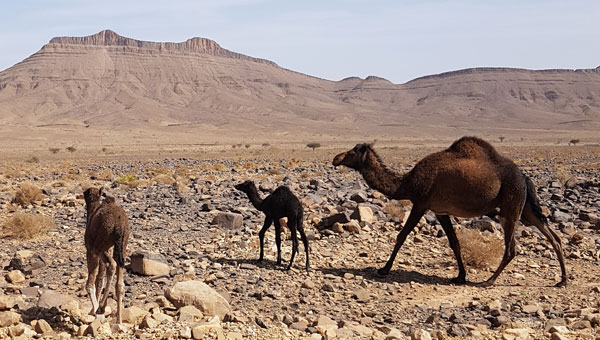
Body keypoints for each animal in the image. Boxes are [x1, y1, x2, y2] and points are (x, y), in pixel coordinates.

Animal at [83, 187, 130, 322]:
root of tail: (119, 225)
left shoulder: (91, 250)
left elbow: (91, 283)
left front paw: (94, 309)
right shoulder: (108, 249)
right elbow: (99, 280)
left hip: (99, 247)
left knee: (112, 264)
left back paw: (101, 308)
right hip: (122, 245)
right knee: (119, 283)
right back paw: (119, 320)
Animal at [332, 136, 568, 286]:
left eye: (352, 151)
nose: (336, 158)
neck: (407, 182)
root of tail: (524, 177)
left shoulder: (421, 203)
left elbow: (402, 236)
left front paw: (383, 270)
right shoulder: (440, 211)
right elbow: (454, 242)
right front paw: (460, 276)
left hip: (511, 207)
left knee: (511, 248)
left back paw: (488, 281)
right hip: (526, 209)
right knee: (553, 237)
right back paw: (562, 281)